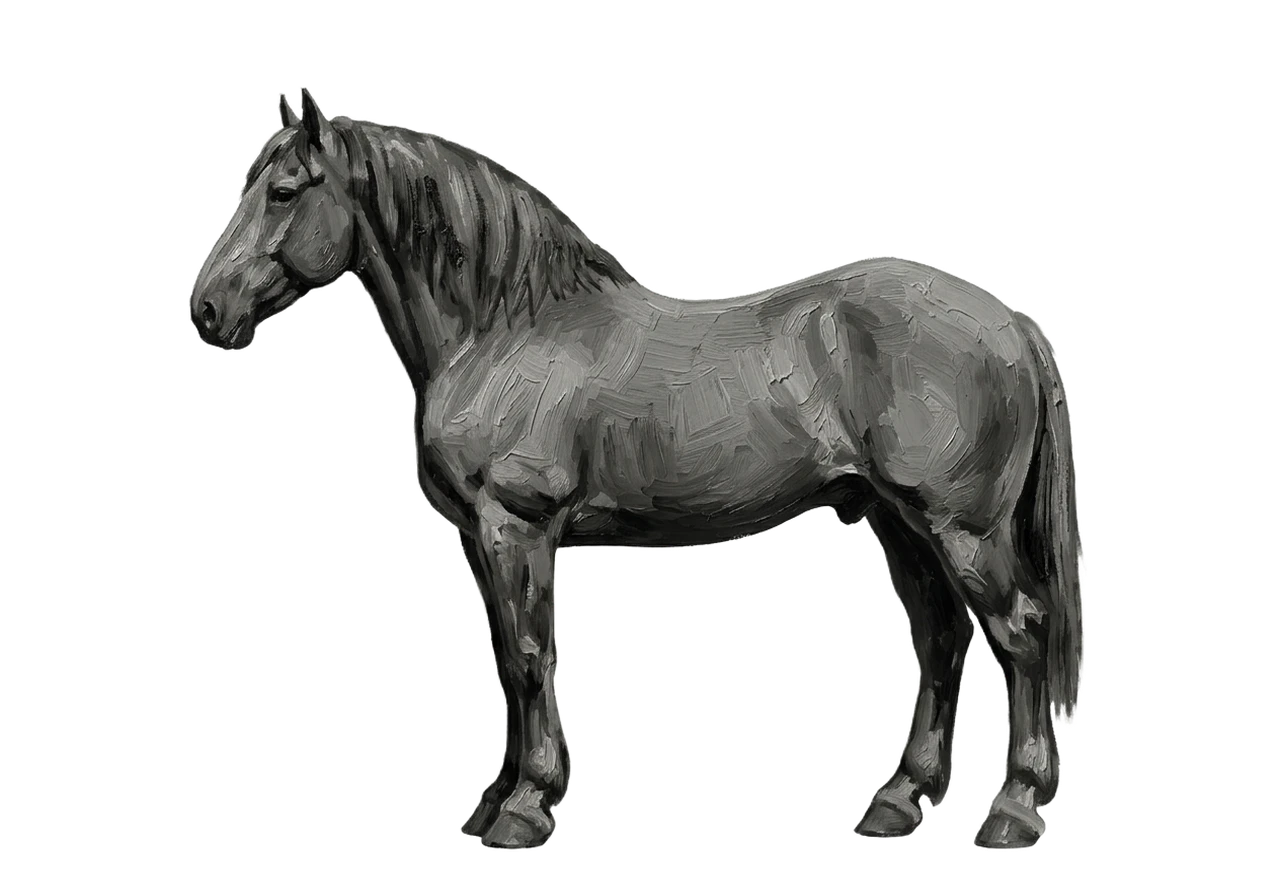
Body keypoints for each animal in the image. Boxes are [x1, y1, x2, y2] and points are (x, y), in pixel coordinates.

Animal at [187, 89, 1085, 850]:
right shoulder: (481, 537)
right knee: (941, 642)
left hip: (961, 529)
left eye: (284, 191)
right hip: (900, 523)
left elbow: (530, 656)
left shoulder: (517, 527)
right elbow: (508, 661)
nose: (208, 310)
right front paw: (495, 801)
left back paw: (1013, 813)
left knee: (1022, 633)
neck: (505, 326)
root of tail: (1011, 322)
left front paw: (526, 808)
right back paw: (899, 802)